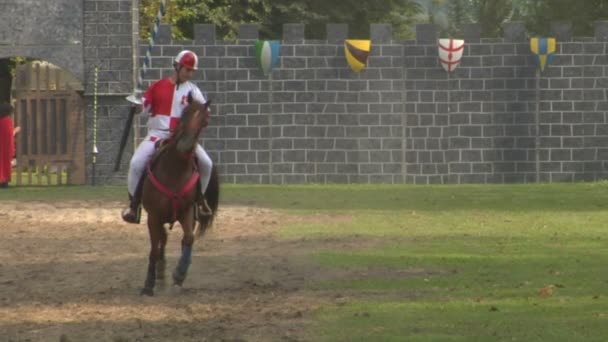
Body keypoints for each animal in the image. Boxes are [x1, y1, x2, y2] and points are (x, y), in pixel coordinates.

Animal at [139, 99, 220, 296]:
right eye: (184, 114)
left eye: (203, 121)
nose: (184, 145)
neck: (174, 171)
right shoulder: (153, 216)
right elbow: (154, 249)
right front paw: (149, 284)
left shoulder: (187, 211)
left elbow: (188, 238)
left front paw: (179, 274)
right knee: (162, 239)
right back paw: (160, 273)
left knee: (183, 240)